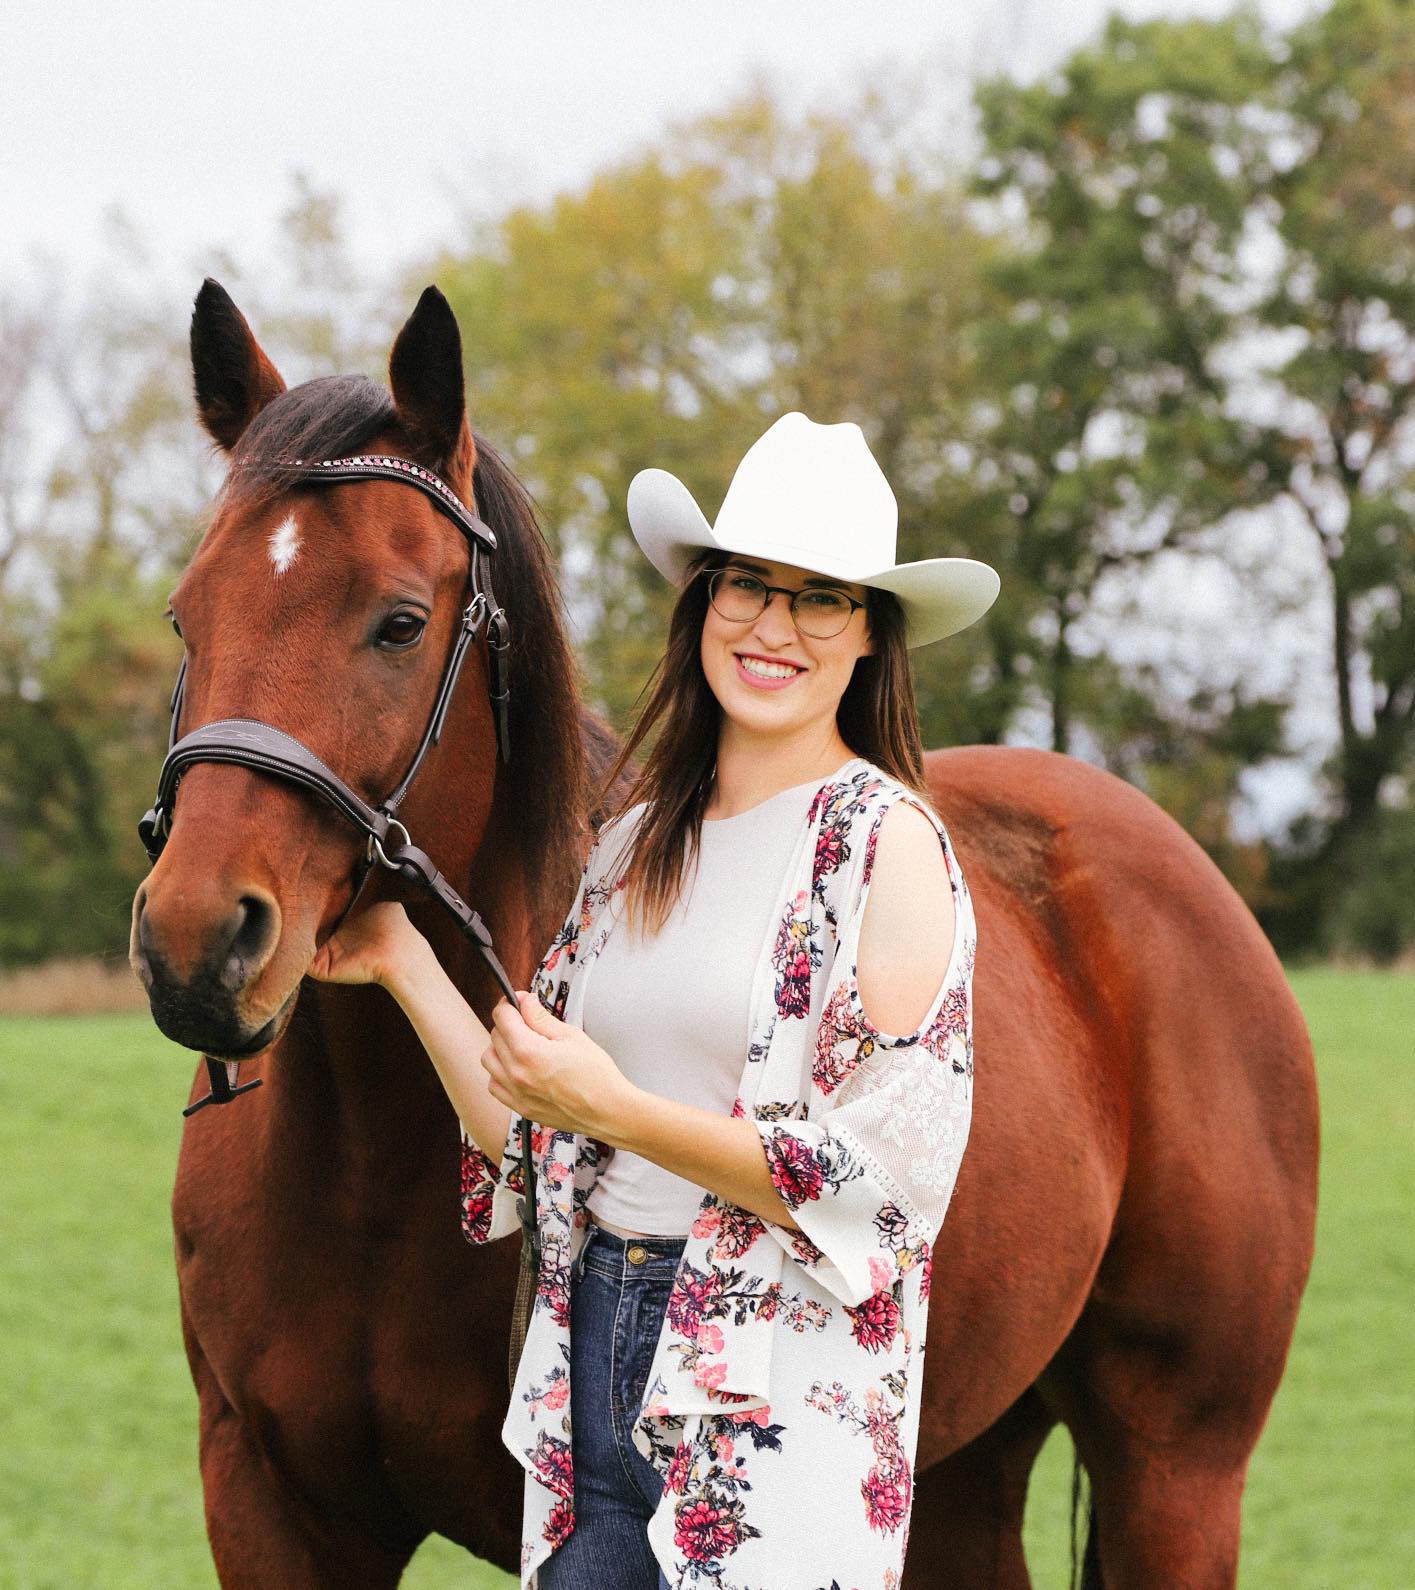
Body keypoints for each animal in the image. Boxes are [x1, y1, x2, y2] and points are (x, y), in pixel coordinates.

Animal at [129, 286, 1310, 1590]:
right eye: (187, 614)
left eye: (397, 623)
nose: (197, 943)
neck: (363, 1171)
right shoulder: (271, 1508)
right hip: (966, 1456)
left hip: (1176, 1470)